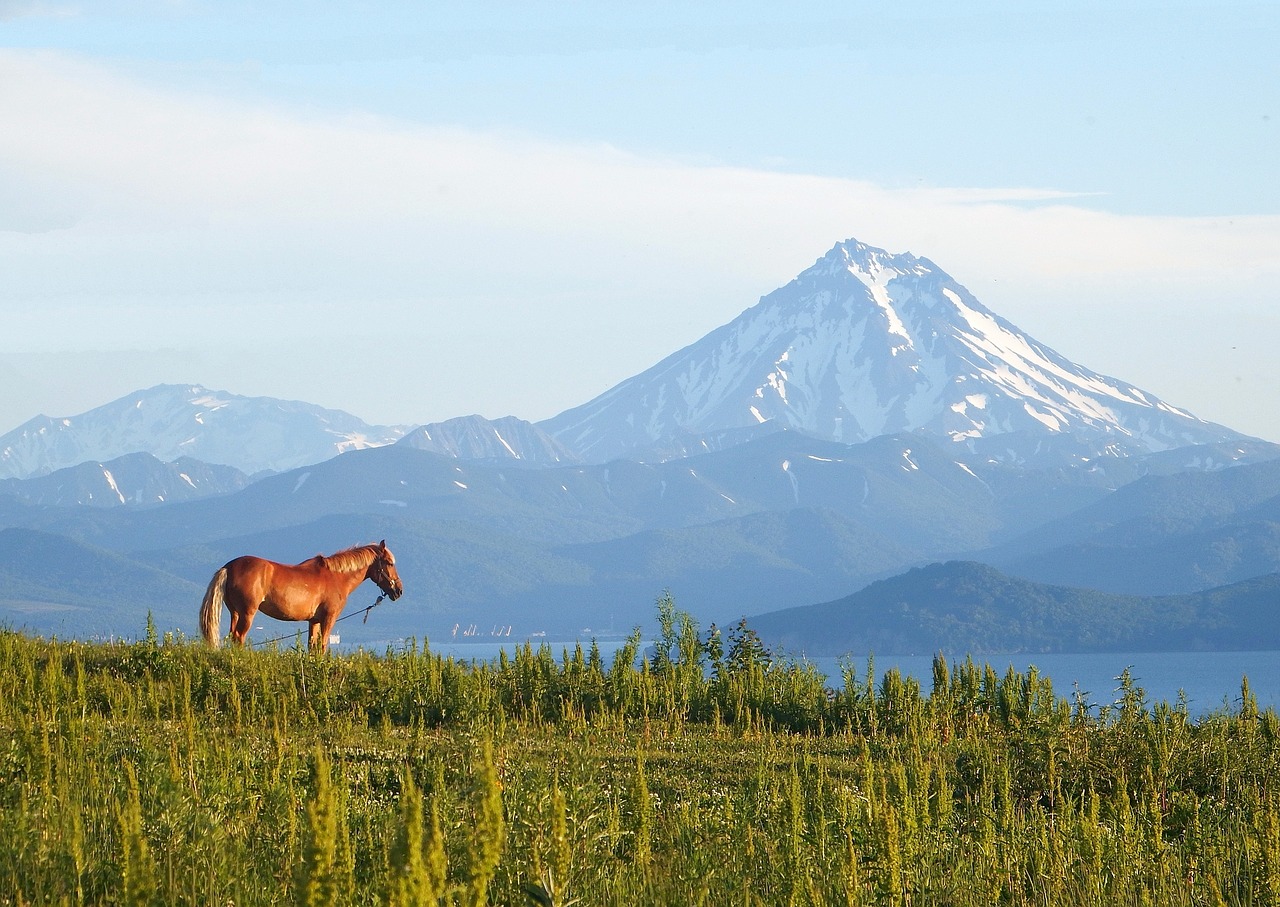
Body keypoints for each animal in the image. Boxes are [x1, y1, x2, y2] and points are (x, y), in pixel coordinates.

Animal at [199, 537, 401, 649]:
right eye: (390, 563)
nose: (398, 590)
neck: (336, 576)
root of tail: (228, 567)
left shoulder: (314, 621)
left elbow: (312, 646)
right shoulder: (329, 618)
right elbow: (322, 645)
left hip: (235, 612)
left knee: (232, 636)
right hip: (247, 613)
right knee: (239, 637)